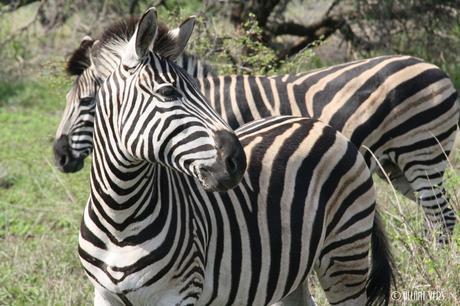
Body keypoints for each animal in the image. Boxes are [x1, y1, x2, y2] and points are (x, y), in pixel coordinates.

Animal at [52, 16, 458, 243]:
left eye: (86, 102)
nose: (58, 157)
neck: (211, 98)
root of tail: (436, 69)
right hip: (398, 167)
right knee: (441, 218)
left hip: (422, 154)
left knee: (441, 221)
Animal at [82, 8, 392, 304]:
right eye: (168, 92)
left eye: (200, 88)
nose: (238, 162)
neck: (120, 217)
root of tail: (321, 125)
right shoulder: (104, 296)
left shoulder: (179, 293)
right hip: (291, 271)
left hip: (345, 255)